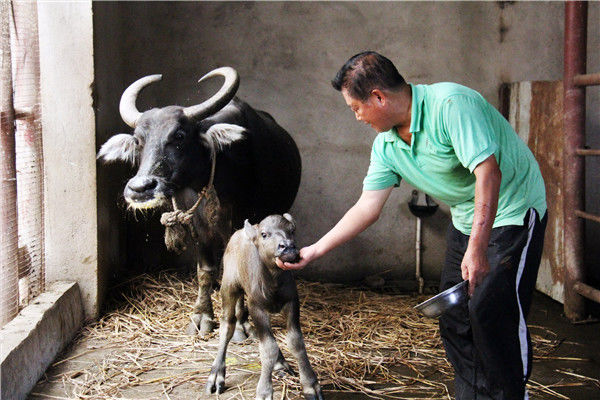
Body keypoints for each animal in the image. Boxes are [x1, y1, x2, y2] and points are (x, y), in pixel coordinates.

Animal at [99, 67, 304, 336]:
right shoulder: (198, 225)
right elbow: (205, 271)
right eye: (138, 140)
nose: (140, 188)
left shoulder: (245, 222)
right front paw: (201, 316)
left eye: (179, 135)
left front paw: (241, 323)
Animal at [209, 214, 326, 400]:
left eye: (291, 231)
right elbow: (268, 348)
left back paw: (280, 363)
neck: (274, 283)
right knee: (227, 324)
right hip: (228, 286)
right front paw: (264, 391)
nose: (287, 246)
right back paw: (216, 374)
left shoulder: (292, 302)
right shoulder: (256, 307)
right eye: (264, 234)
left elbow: (296, 341)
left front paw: (310, 385)